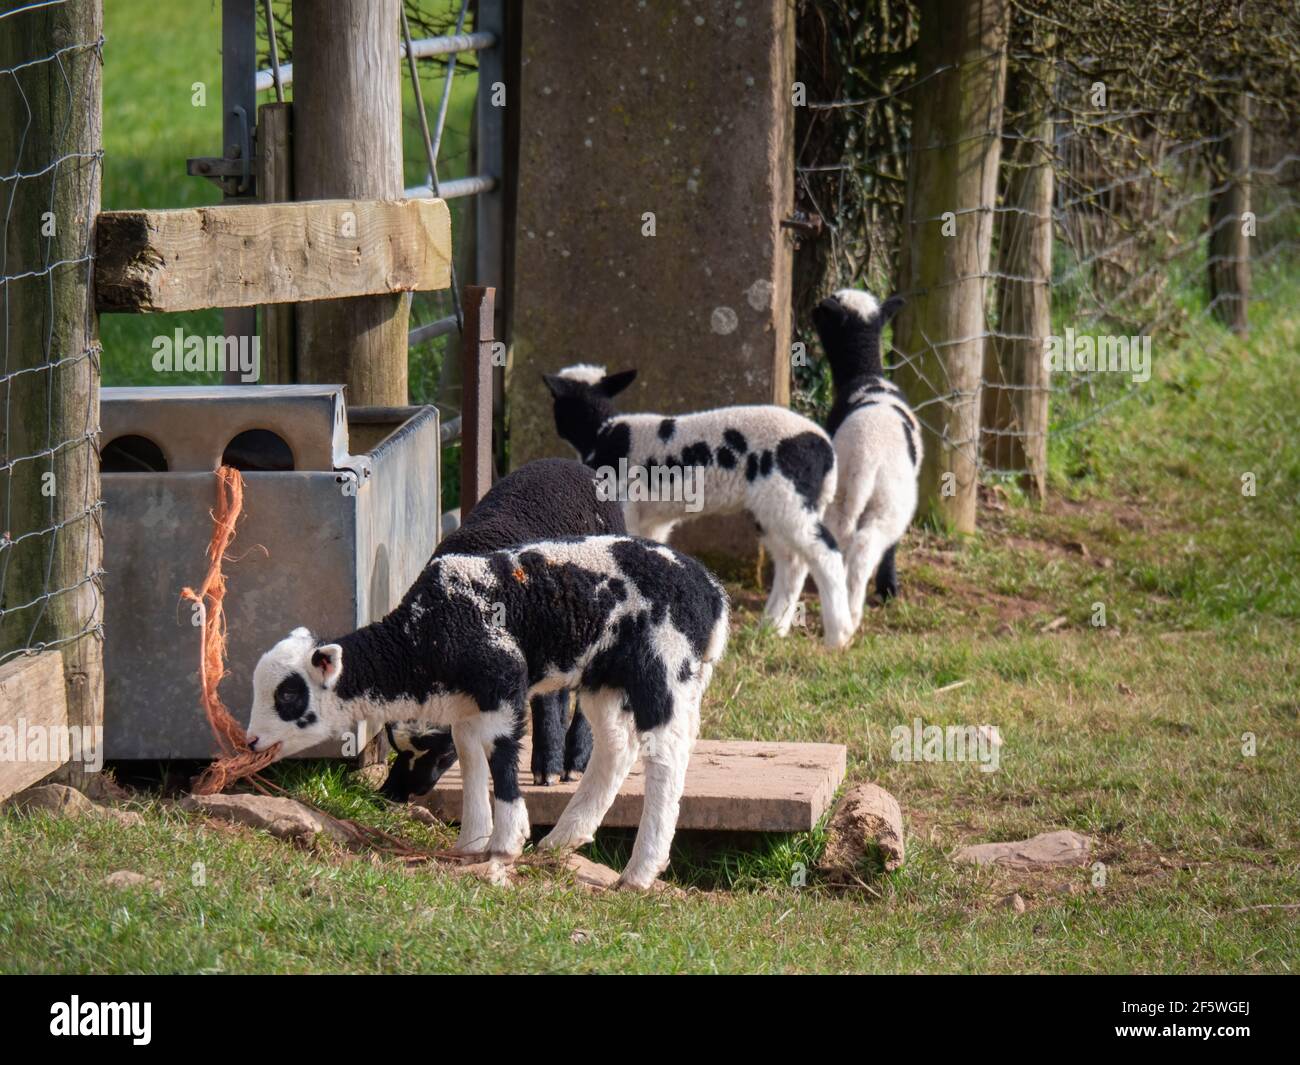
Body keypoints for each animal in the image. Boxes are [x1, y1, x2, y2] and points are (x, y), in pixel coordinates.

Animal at [245, 534, 730, 890]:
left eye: (288, 697)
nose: (250, 741)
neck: (420, 638)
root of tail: (712, 593)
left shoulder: (503, 680)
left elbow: (501, 754)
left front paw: (506, 842)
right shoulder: (468, 703)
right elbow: (470, 753)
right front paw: (471, 841)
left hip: (663, 665)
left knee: (665, 755)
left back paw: (640, 871)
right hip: (604, 677)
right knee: (616, 747)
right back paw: (562, 841)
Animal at [381, 458, 626, 801]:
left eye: (444, 753)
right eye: (397, 749)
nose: (404, 791)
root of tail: (568, 462)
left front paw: (547, 769)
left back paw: (575, 760)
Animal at [542, 366, 854, 649]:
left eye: (556, 400)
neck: (602, 433)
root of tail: (827, 451)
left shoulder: (625, 505)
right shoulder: (650, 520)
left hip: (788, 497)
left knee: (824, 553)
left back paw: (839, 635)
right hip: (775, 507)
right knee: (793, 560)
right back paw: (773, 627)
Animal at [811, 289, 921, 628]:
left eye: (826, 309)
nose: (813, 308)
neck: (866, 373)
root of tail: (866, 460)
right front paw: (888, 588)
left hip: (845, 495)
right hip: (887, 502)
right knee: (866, 544)